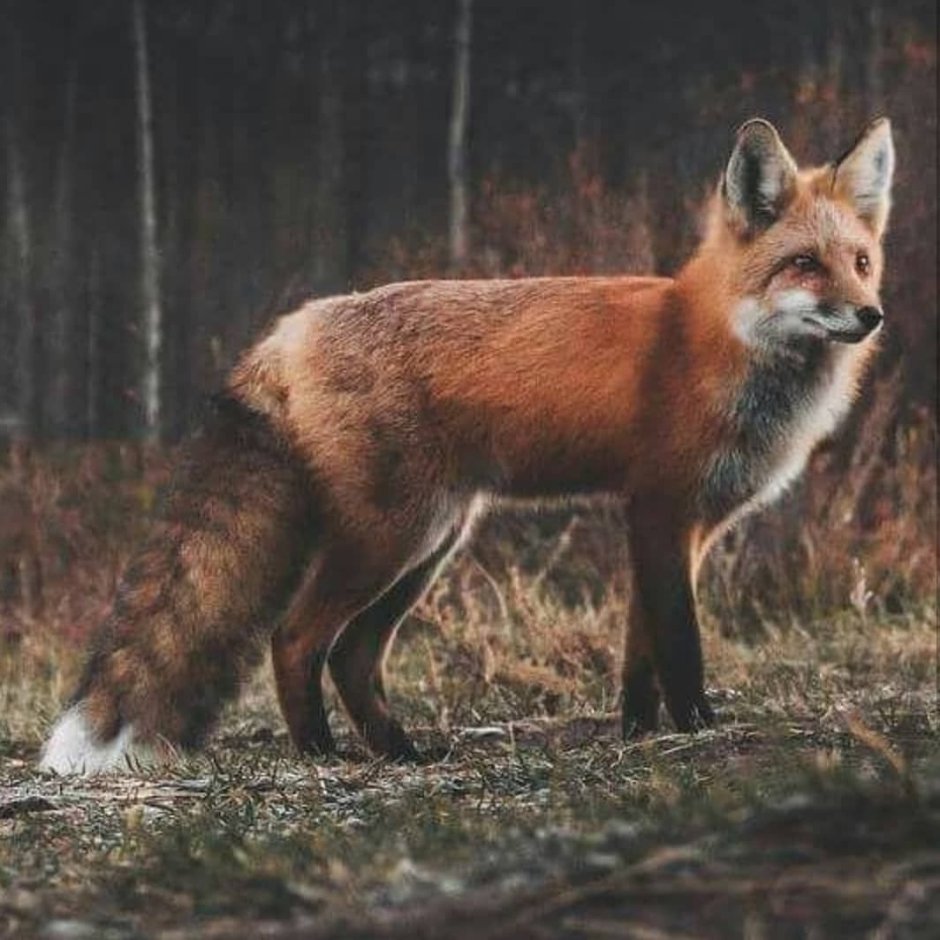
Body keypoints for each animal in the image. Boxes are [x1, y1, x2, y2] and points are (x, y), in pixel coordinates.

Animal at [40, 117, 894, 774]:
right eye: (803, 265)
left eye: (860, 262)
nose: (872, 315)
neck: (715, 340)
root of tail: (287, 329)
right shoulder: (660, 510)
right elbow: (679, 646)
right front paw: (696, 732)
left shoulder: (677, 527)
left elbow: (639, 655)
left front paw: (639, 735)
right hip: (392, 537)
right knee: (297, 637)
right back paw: (321, 753)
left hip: (433, 542)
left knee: (353, 655)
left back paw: (399, 752)